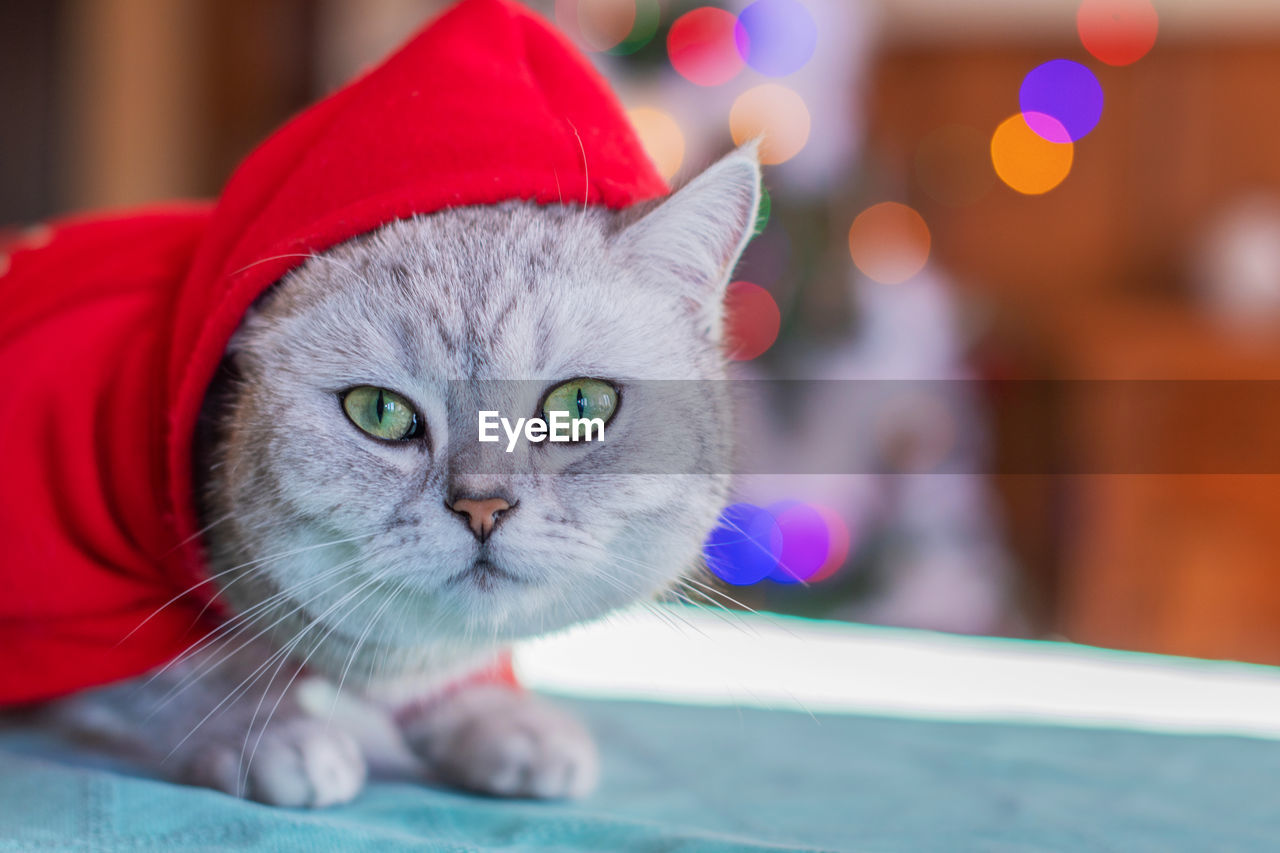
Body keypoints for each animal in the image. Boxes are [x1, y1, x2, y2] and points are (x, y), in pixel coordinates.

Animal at [49, 142, 762, 799]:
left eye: (580, 404)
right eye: (381, 411)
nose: (483, 509)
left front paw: (497, 716)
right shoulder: (83, 598)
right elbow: (163, 682)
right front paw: (265, 733)